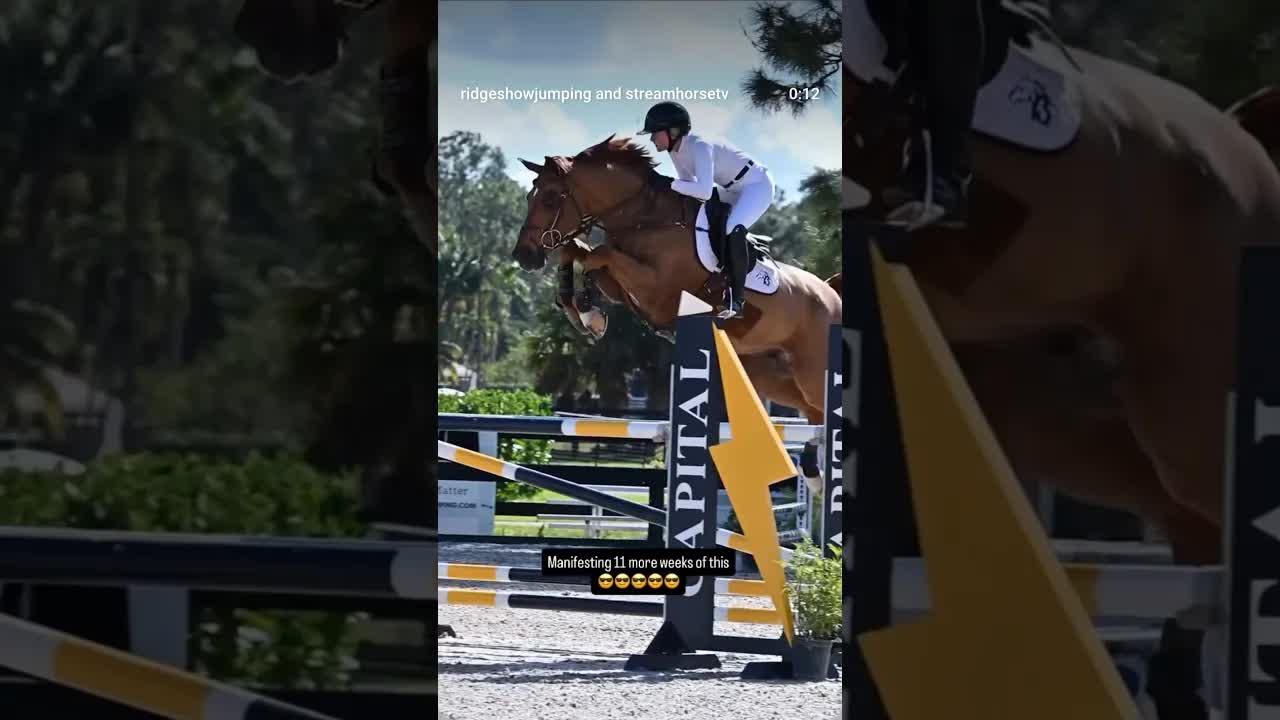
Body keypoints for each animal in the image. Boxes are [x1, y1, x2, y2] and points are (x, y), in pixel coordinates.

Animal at [512, 137, 842, 430]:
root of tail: (832, 295)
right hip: (774, 376)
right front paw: (581, 310)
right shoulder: (624, 287)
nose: (523, 256)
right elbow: (580, 252)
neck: (647, 219)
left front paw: (587, 311)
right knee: (812, 411)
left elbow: (599, 254)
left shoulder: (657, 292)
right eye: (529, 197)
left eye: (550, 198)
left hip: (813, 374)